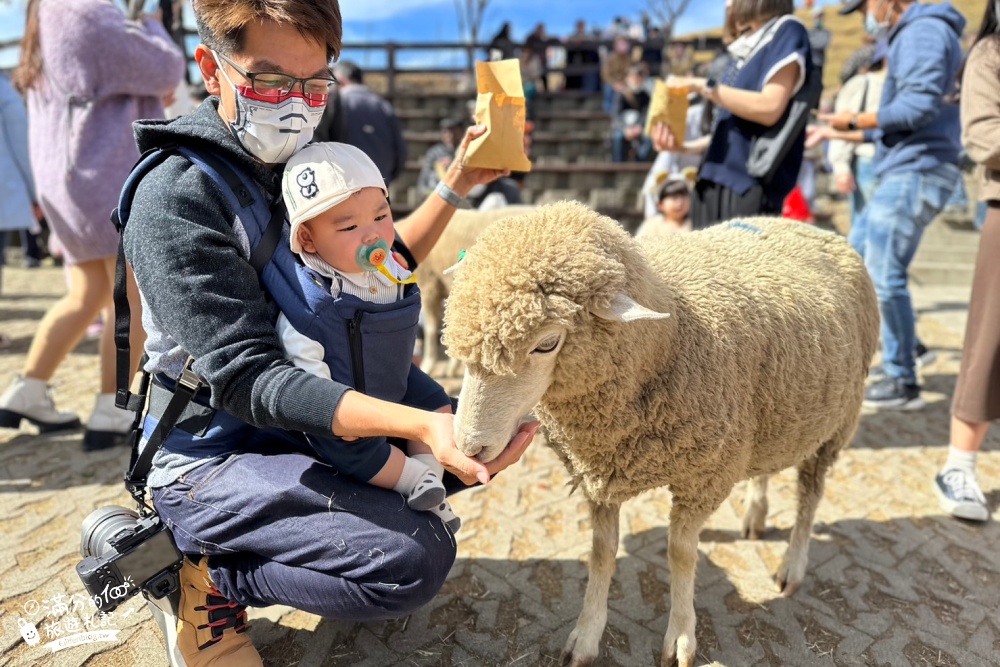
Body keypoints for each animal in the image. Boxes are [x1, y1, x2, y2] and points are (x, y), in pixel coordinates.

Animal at [442, 204, 880, 667]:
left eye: (547, 343)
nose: (470, 447)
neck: (672, 333)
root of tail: (799, 224)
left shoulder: (704, 475)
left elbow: (681, 553)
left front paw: (681, 637)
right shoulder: (600, 471)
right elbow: (601, 551)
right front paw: (586, 634)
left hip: (836, 422)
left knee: (809, 496)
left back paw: (792, 566)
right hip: (776, 411)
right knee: (766, 466)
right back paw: (755, 515)